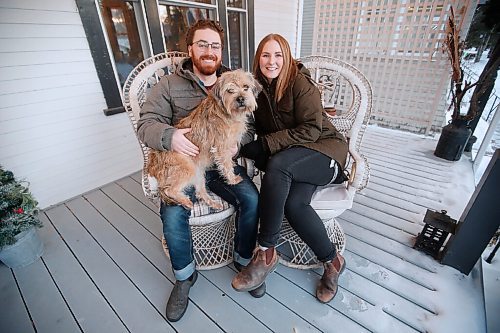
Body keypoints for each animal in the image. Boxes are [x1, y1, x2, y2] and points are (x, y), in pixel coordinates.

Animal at [146, 69, 262, 209]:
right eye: (230, 90)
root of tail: (152, 164)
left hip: (199, 173)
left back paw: (213, 203)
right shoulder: (221, 147)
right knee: (169, 190)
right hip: (187, 168)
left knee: (200, 192)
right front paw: (232, 179)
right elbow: (226, 164)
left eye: (246, 87)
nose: (240, 99)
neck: (227, 112)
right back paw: (185, 201)